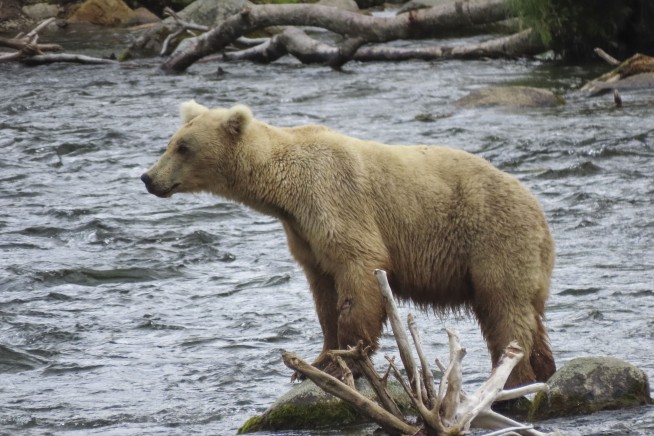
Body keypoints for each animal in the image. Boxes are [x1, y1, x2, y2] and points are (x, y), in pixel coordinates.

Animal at [141, 100, 556, 388]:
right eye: (170, 142)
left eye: (183, 147)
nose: (148, 177)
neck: (284, 193)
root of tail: (539, 211)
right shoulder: (303, 235)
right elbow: (323, 293)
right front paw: (315, 361)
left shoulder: (334, 200)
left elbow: (358, 271)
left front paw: (346, 358)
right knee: (527, 315)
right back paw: (543, 367)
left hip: (494, 240)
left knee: (504, 310)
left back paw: (514, 376)